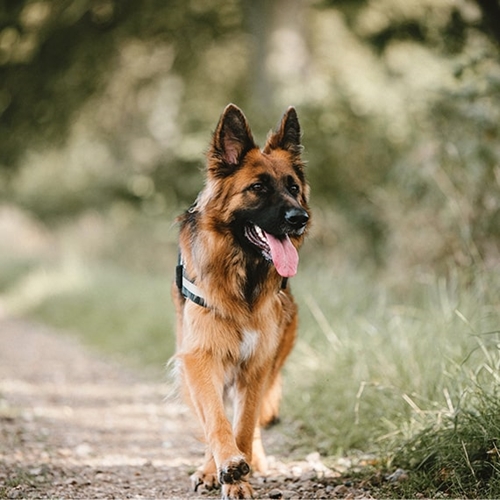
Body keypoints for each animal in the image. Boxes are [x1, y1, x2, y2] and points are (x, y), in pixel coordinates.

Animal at [174, 103, 310, 498]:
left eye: (293, 188)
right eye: (258, 188)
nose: (300, 218)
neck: (243, 279)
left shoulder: (257, 365)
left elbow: (245, 426)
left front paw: (242, 475)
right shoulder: (200, 357)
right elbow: (215, 421)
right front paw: (225, 468)